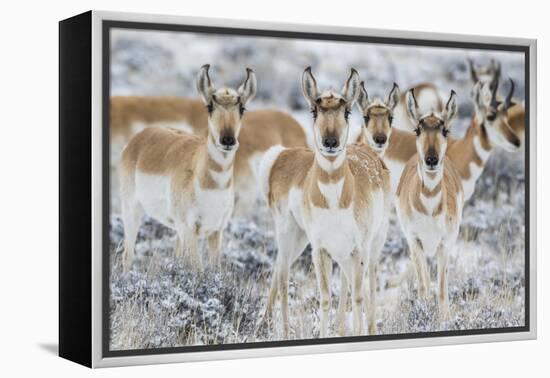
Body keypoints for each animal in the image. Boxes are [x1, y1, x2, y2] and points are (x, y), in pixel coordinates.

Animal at [119, 65, 258, 272]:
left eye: (242, 108)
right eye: (209, 106)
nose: (227, 140)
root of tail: (139, 138)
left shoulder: (216, 231)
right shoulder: (190, 230)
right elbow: (198, 270)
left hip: (176, 231)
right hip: (132, 210)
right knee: (128, 255)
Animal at [262, 67, 394, 336]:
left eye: (347, 111)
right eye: (314, 110)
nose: (330, 142)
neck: (335, 202)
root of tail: (281, 155)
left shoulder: (356, 249)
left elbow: (357, 296)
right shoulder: (320, 249)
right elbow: (325, 298)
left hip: (369, 244)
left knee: (368, 284)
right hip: (291, 235)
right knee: (282, 275)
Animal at [396, 88, 466, 318]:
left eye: (445, 130)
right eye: (417, 129)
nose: (431, 160)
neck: (429, 209)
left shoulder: (445, 243)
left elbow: (442, 288)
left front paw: (445, 318)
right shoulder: (415, 240)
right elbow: (424, 286)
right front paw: (423, 312)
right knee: (423, 279)